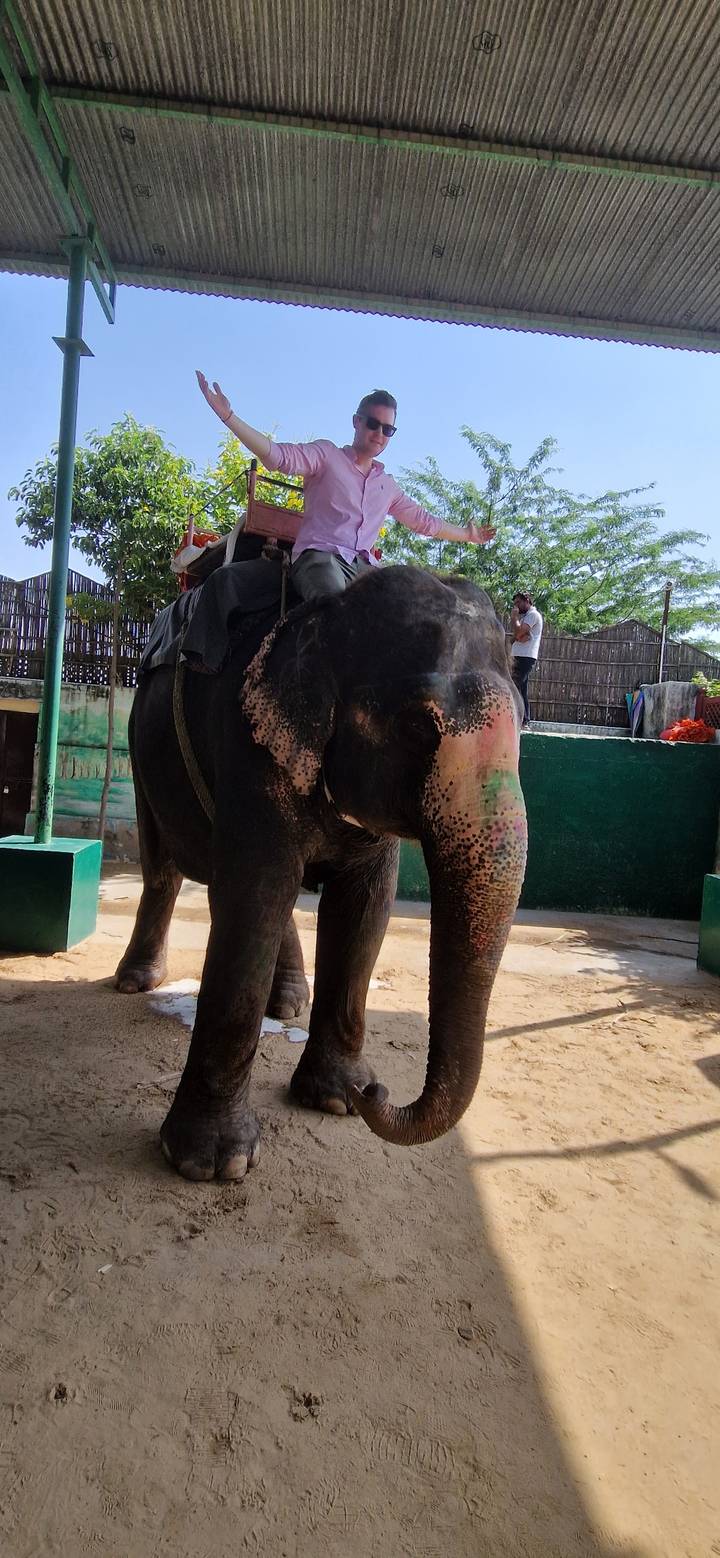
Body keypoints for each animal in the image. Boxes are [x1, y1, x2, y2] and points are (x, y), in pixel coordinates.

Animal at [116, 564, 527, 1181]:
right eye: (416, 727)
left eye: (523, 722)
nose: (378, 1092)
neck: (330, 614)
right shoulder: (249, 743)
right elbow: (255, 892)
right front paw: (211, 1165)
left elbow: (365, 907)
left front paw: (336, 1100)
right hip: (141, 750)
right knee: (164, 867)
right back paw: (135, 982)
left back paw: (285, 1006)